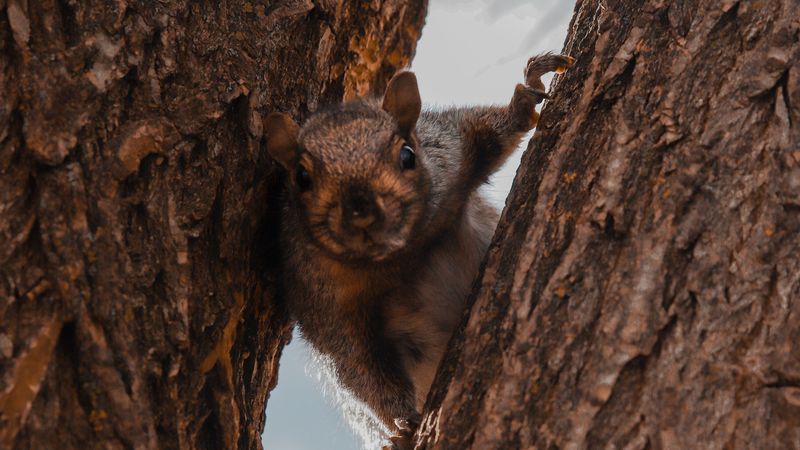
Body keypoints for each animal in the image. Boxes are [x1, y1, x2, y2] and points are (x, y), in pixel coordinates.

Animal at [264, 53, 574, 449]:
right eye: (301, 178)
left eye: (407, 155)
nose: (362, 212)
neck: (401, 257)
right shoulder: (323, 304)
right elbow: (359, 369)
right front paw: (403, 424)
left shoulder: (450, 150)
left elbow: (489, 133)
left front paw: (526, 95)